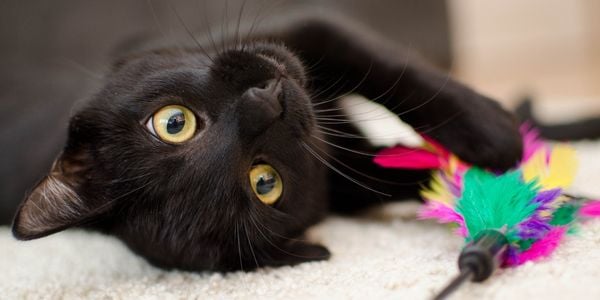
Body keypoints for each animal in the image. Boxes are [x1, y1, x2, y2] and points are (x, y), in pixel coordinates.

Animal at [11, 15, 524, 270]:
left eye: (174, 123)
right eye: (264, 183)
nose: (266, 104)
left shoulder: (307, 26)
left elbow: (387, 67)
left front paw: (495, 134)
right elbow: (413, 172)